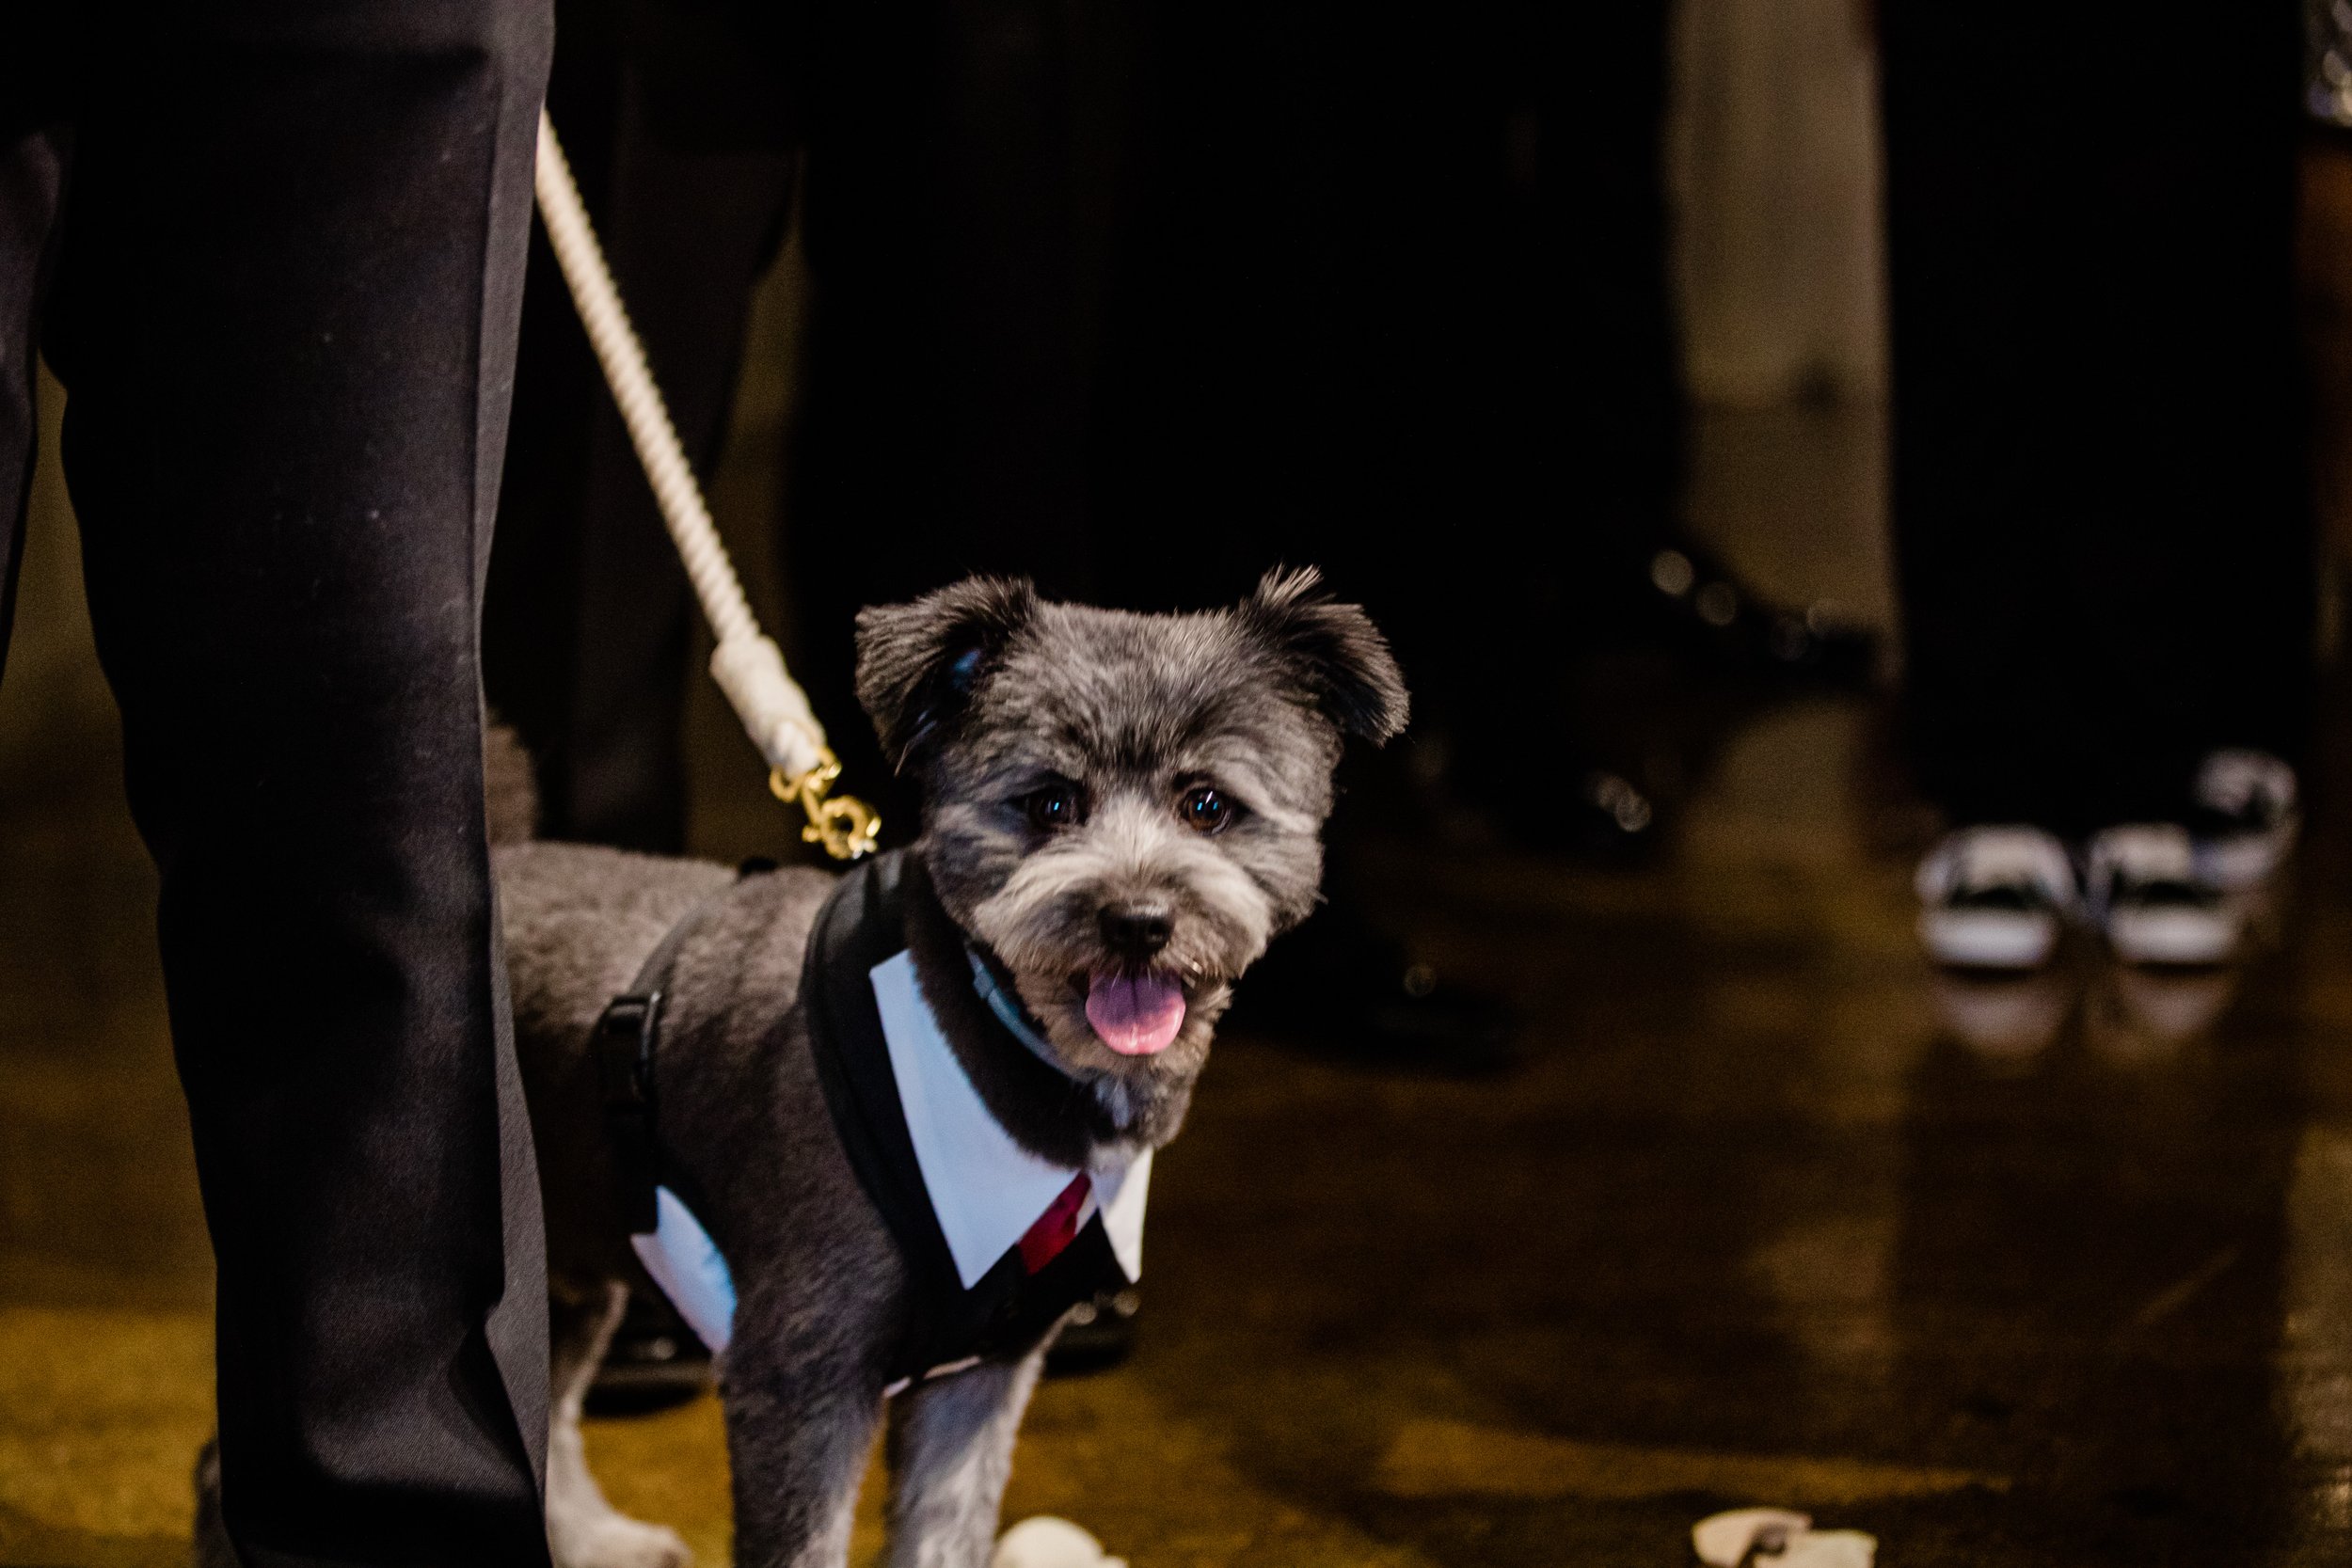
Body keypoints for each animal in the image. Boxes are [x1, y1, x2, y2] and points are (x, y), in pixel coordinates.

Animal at [212, 571, 1392, 1568]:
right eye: (1050, 803)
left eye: (1207, 803)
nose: (1139, 919)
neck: (976, 1037)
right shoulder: (800, 1386)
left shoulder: (978, 1388)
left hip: (574, 1268)